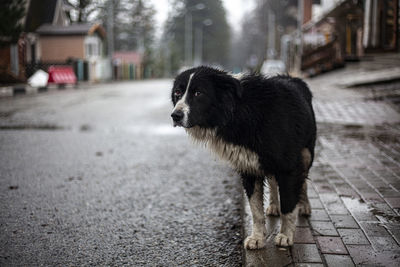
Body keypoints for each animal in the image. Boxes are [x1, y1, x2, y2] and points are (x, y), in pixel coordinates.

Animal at [170, 66, 318, 250]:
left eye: (198, 93)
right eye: (177, 92)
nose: (175, 115)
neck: (238, 111)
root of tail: (292, 77)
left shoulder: (288, 166)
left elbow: (289, 205)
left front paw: (285, 235)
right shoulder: (248, 167)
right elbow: (256, 210)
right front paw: (257, 238)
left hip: (306, 153)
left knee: (303, 180)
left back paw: (304, 204)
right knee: (273, 181)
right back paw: (274, 205)